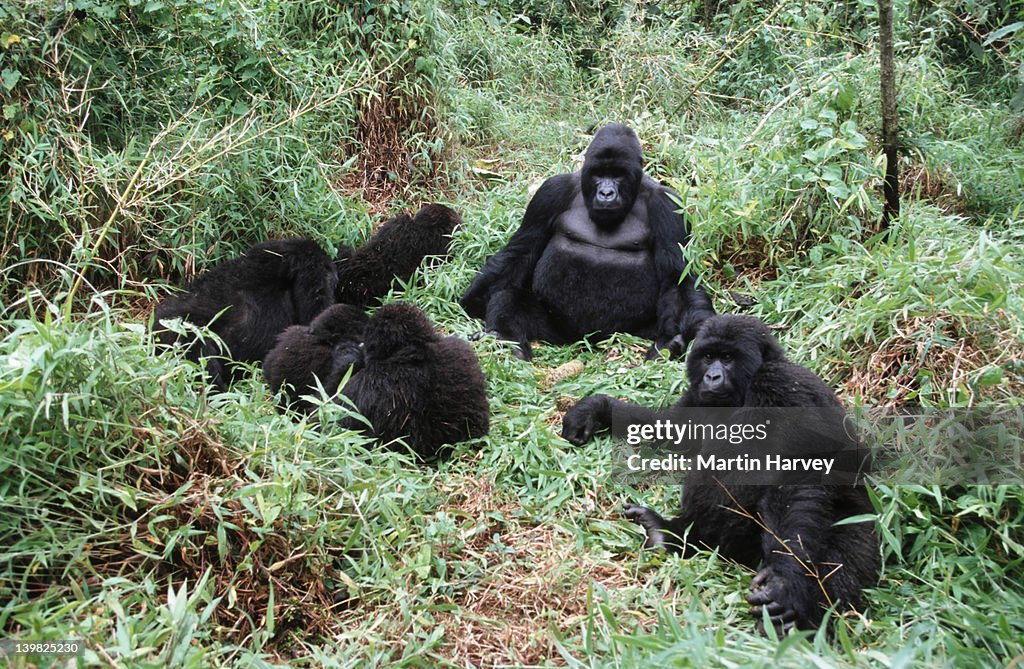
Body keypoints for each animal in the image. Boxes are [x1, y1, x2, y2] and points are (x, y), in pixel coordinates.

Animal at [460, 123, 716, 360]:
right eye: (598, 173)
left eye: (618, 174)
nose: (606, 193)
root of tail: (585, 341)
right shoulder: (551, 192)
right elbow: (522, 251)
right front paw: (475, 300)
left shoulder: (668, 205)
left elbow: (677, 278)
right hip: (555, 334)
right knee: (509, 297)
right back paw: (506, 340)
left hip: (627, 333)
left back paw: (668, 345)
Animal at [561, 313, 880, 631]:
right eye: (708, 357)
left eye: (727, 358)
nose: (712, 377)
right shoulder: (698, 397)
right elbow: (670, 430)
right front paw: (597, 409)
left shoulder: (781, 386)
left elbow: (797, 475)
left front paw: (784, 580)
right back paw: (671, 533)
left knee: (838, 562)